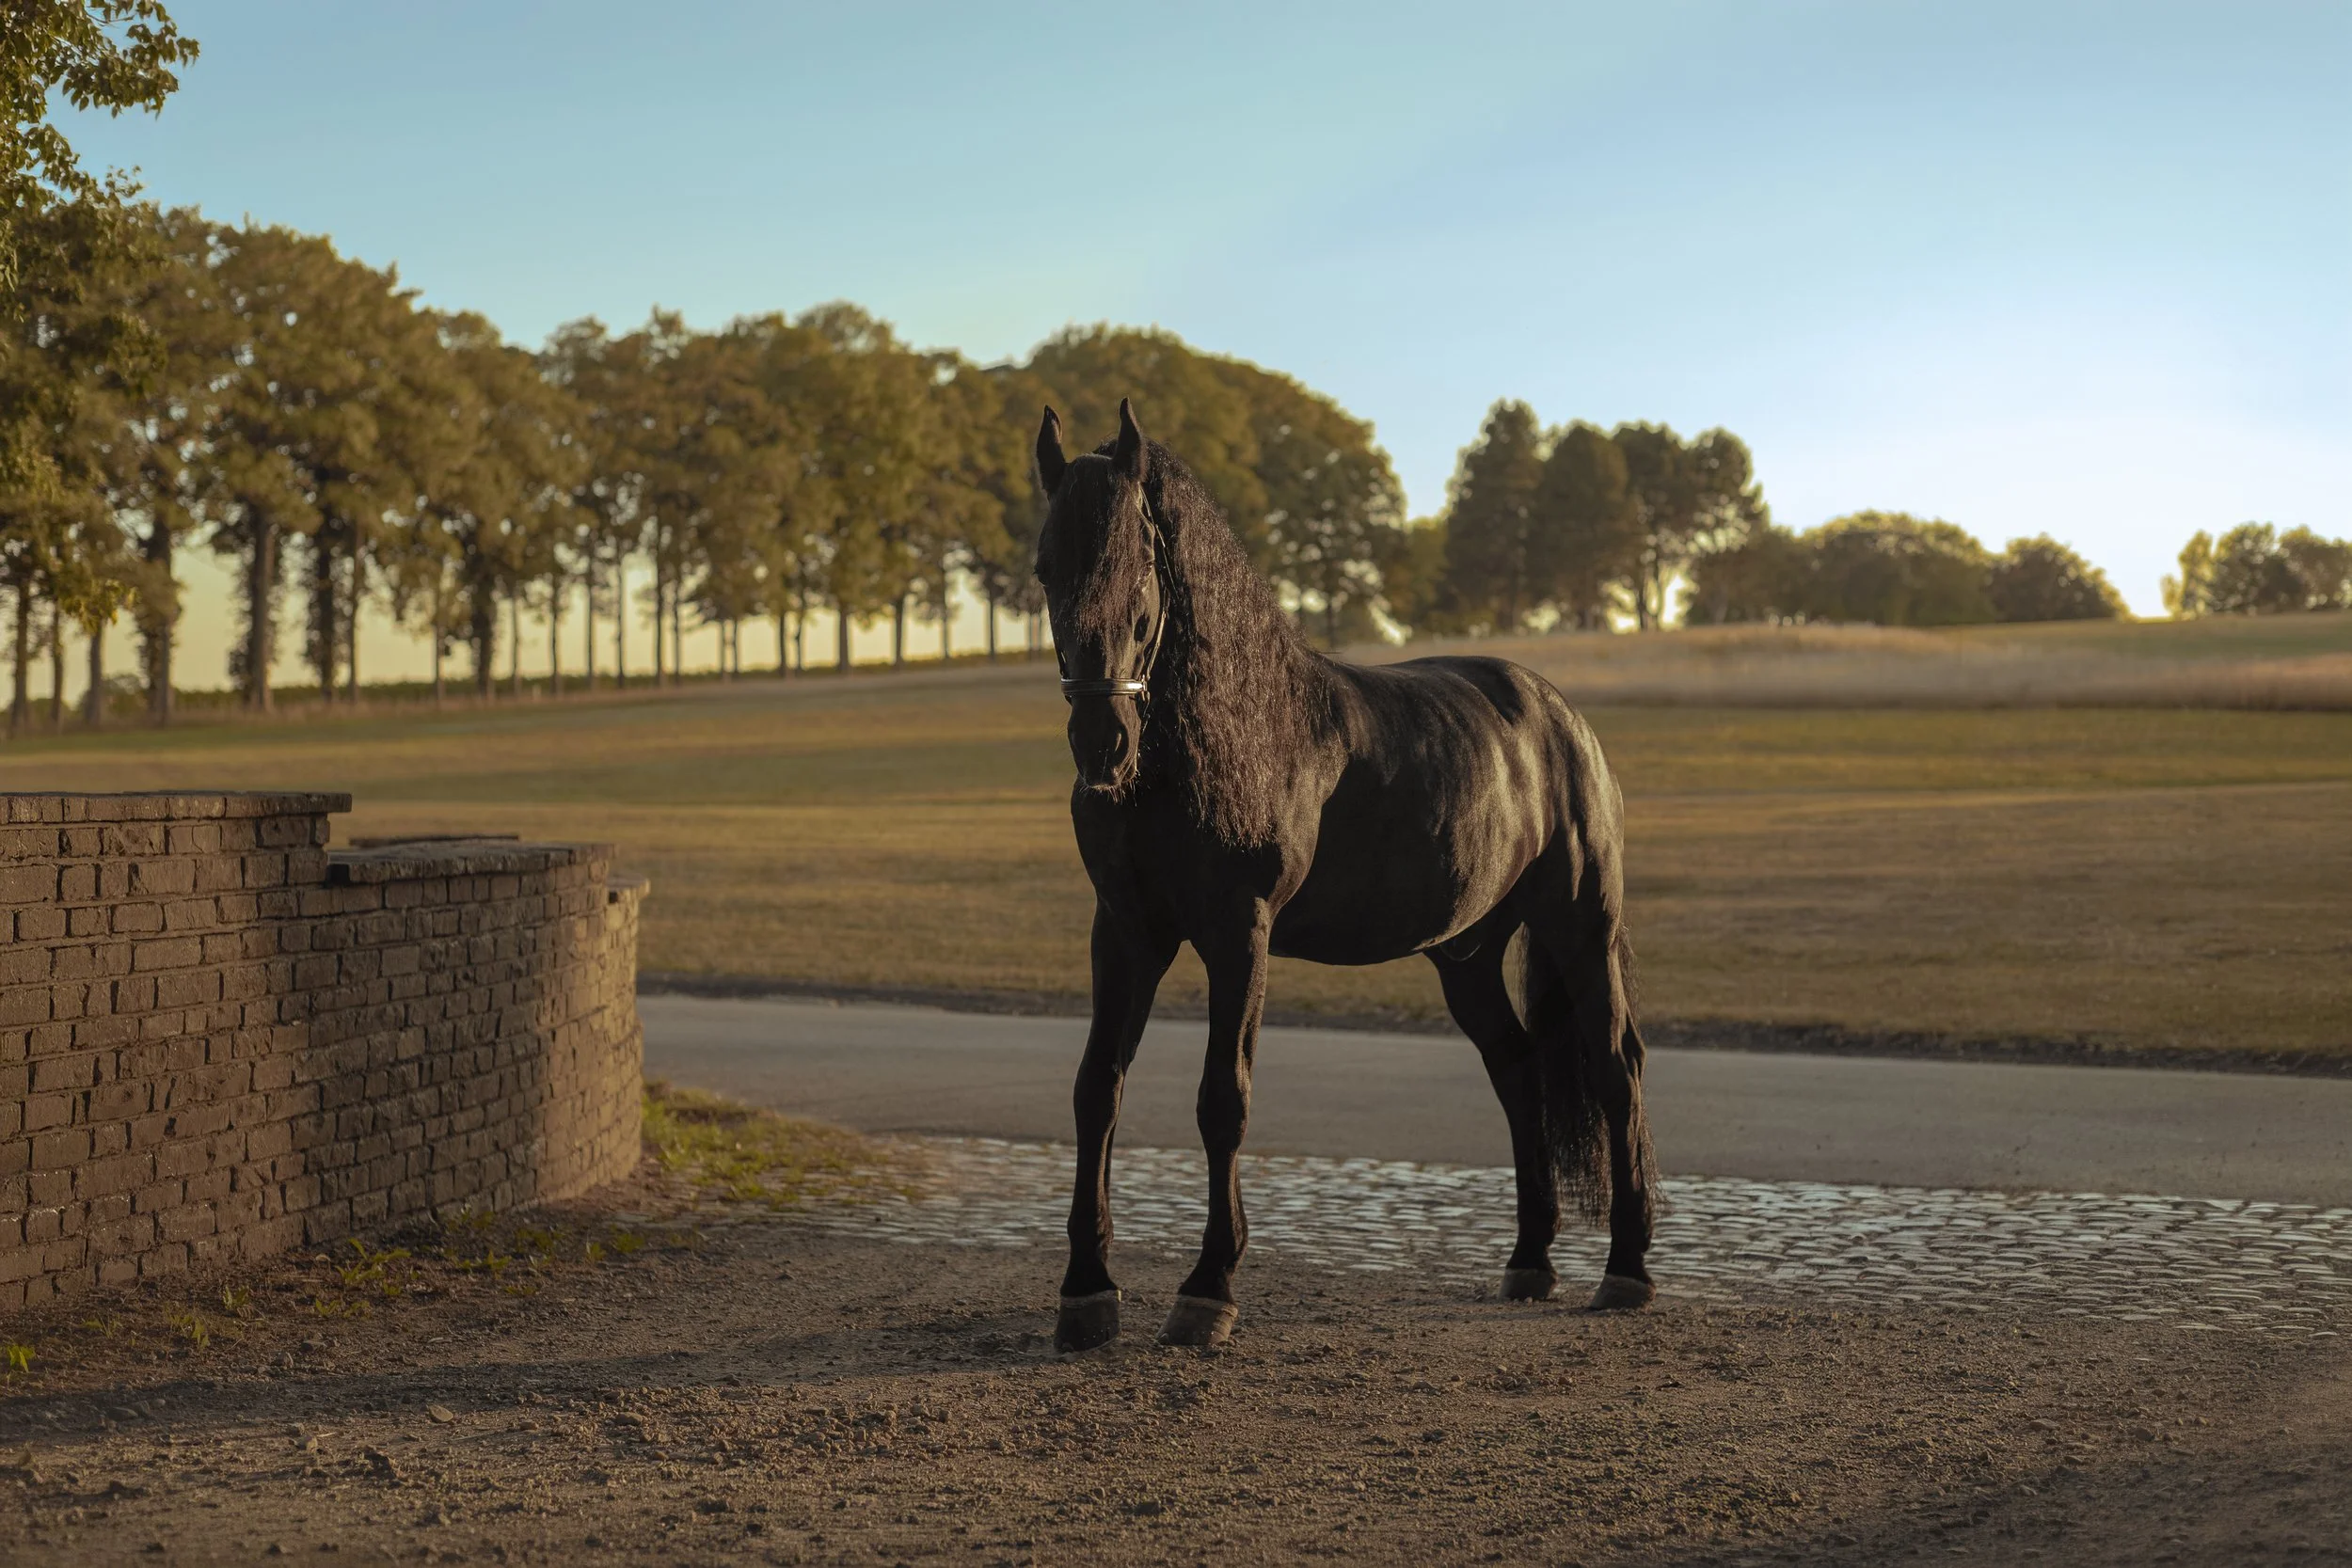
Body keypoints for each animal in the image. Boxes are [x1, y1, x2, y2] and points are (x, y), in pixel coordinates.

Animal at [1035, 399, 1656, 1352]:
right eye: (1044, 566)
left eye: (1136, 566)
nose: (1102, 743)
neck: (1238, 730)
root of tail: (1563, 719)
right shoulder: (1127, 930)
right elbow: (1096, 1088)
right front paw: (1087, 1290)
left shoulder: (1240, 932)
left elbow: (1223, 1098)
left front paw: (1208, 1288)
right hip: (1467, 954)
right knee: (1518, 1070)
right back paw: (1529, 1261)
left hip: (1580, 927)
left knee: (1616, 1065)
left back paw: (1625, 1269)